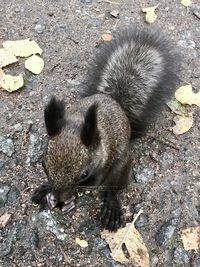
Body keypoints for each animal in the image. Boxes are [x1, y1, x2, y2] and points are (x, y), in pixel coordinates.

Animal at [31, 26, 180, 232]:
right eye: (43, 165)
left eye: (84, 173)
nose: (60, 199)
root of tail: (116, 103)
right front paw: (49, 191)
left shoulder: (102, 165)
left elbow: (91, 187)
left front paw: (71, 199)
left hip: (122, 166)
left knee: (113, 189)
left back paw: (112, 208)